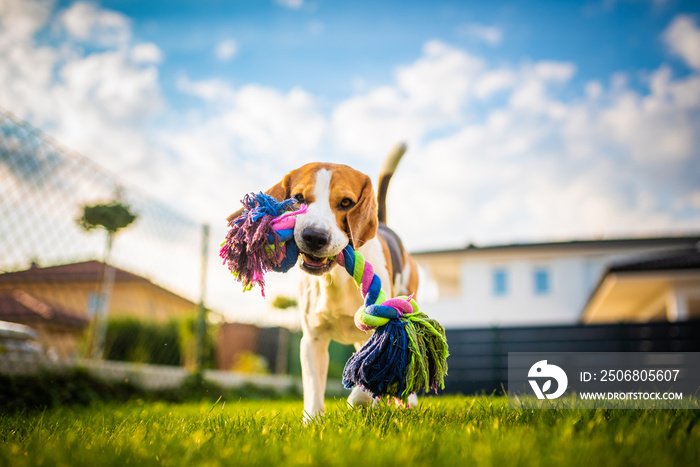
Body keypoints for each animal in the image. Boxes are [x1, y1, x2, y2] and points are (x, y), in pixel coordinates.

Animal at [227, 144, 418, 420]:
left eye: (346, 202)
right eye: (298, 198)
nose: (314, 236)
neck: (335, 278)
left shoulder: (378, 329)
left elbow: (367, 376)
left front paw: (357, 400)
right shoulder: (312, 340)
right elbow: (314, 389)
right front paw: (314, 422)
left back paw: (406, 401)